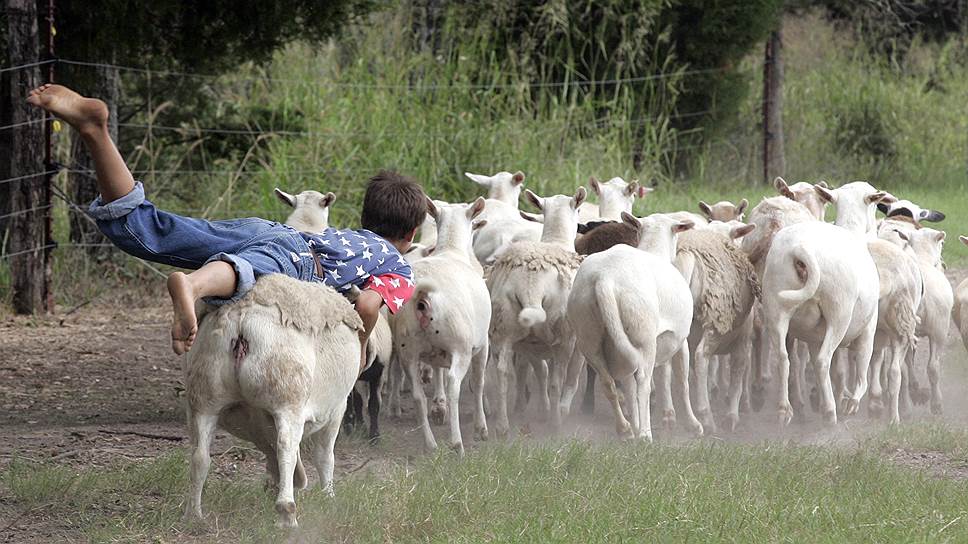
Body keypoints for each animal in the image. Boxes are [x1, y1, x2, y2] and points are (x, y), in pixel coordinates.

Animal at [184, 276, 360, 528]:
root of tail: (242, 320)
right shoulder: (336, 410)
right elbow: (324, 457)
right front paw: (329, 497)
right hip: (288, 400)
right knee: (286, 447)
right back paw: (287, 513)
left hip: (205, 397)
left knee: (200, 456)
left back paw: (194, 514)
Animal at [388, 198, 492, 452]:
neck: (452, 249)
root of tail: (423, 296)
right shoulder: (483, 344)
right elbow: (478, 382)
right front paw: (481, 428)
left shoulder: (435, 353)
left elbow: (437, 373)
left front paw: (438, 407)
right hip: (460, 344)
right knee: (455, 384)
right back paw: (456, 443)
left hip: (408, 348)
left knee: (417, 395)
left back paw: (430, 444)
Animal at [488, 185, 588, 436]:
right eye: (579, 209)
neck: (556, 240)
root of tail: (531, 286)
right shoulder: (576, 342)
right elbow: (570, 377)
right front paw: (559, 409)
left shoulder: (531, 344)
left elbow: (538, 371)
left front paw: (539, 408)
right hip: (563, 334)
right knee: (557, 380)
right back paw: (556, 423)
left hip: (504, 325)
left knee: (504, 373)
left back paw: (503, 426)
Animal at [568, 212, 704, 442]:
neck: (654, 249)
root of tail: (604, 279)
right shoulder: (679, 341)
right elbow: (680, 381)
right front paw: (692, 424)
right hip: (643, 338)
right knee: (643, 382)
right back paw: (645, 434)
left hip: (591, 338)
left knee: (608, 382)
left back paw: (625, 429)